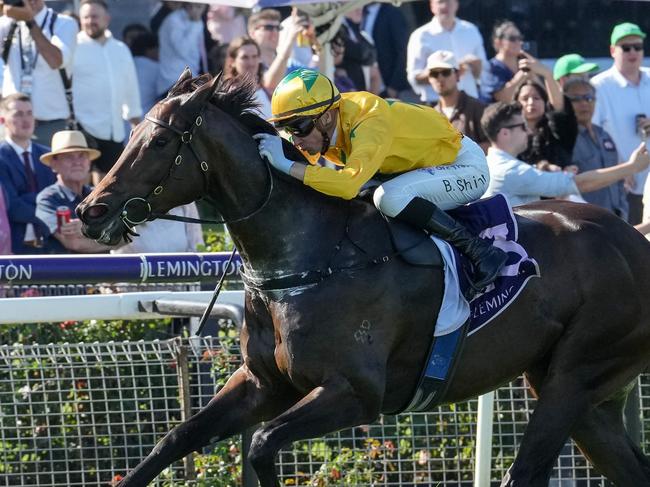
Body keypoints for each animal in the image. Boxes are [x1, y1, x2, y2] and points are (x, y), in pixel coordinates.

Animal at [77, 69, 650, 487]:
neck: (312, 255)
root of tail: (634, 240)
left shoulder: (355, 392)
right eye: (130, 136)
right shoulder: (262, 383)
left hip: (574, 376)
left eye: (158, 143)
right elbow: (175, 439)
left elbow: (261, 444)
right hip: (588, 397)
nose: (89, 210)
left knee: (526, 471)